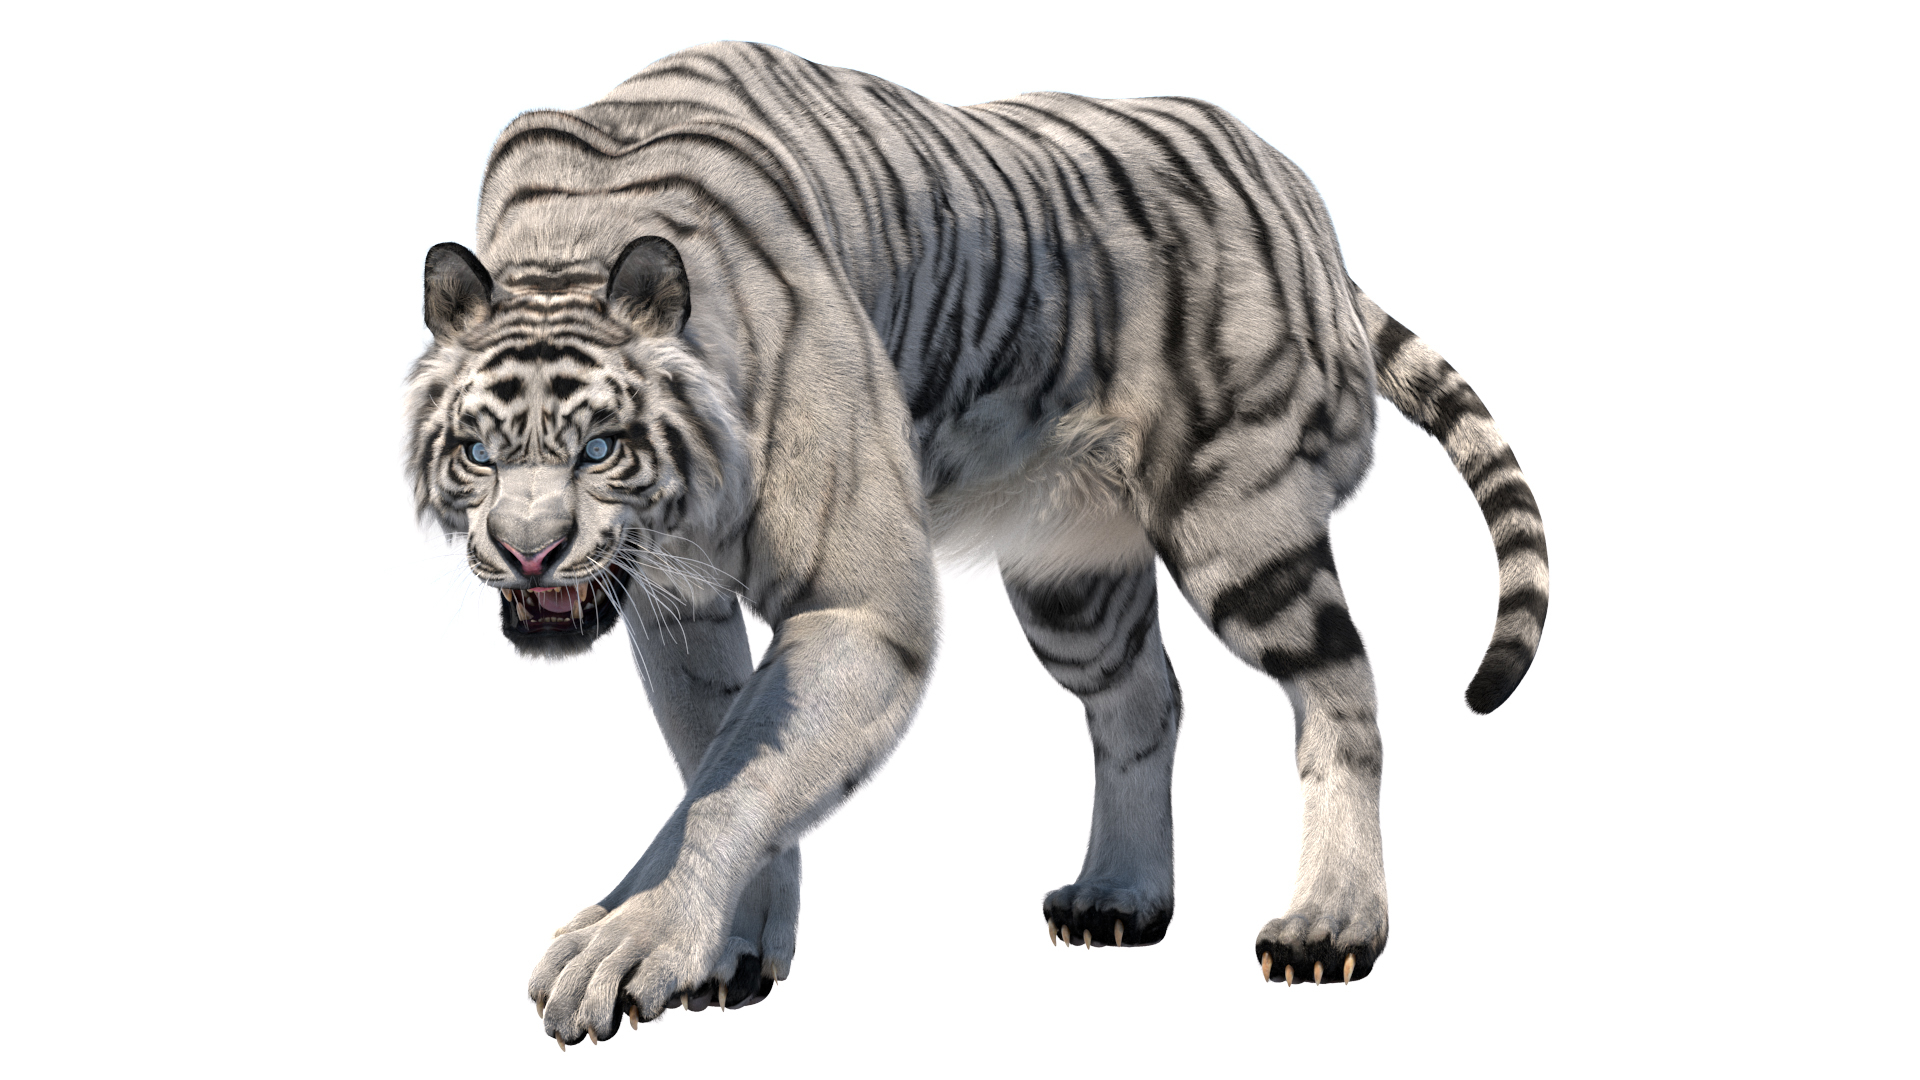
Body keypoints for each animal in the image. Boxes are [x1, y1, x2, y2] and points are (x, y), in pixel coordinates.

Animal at [404, 41, 1548, 1047]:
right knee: (1144, 700)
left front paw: (629, 944)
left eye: (599, 447)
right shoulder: (676, 604)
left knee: (1341, 687)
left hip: (1243, 521)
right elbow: (718, 760)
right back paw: (1121, 895)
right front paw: (728, 953)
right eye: (477, 451)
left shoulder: (864, 607)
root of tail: (1302, 198)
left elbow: (729, 789)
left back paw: (1332, 924)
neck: (573, 235)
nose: (528, 552)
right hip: (1070, 580)